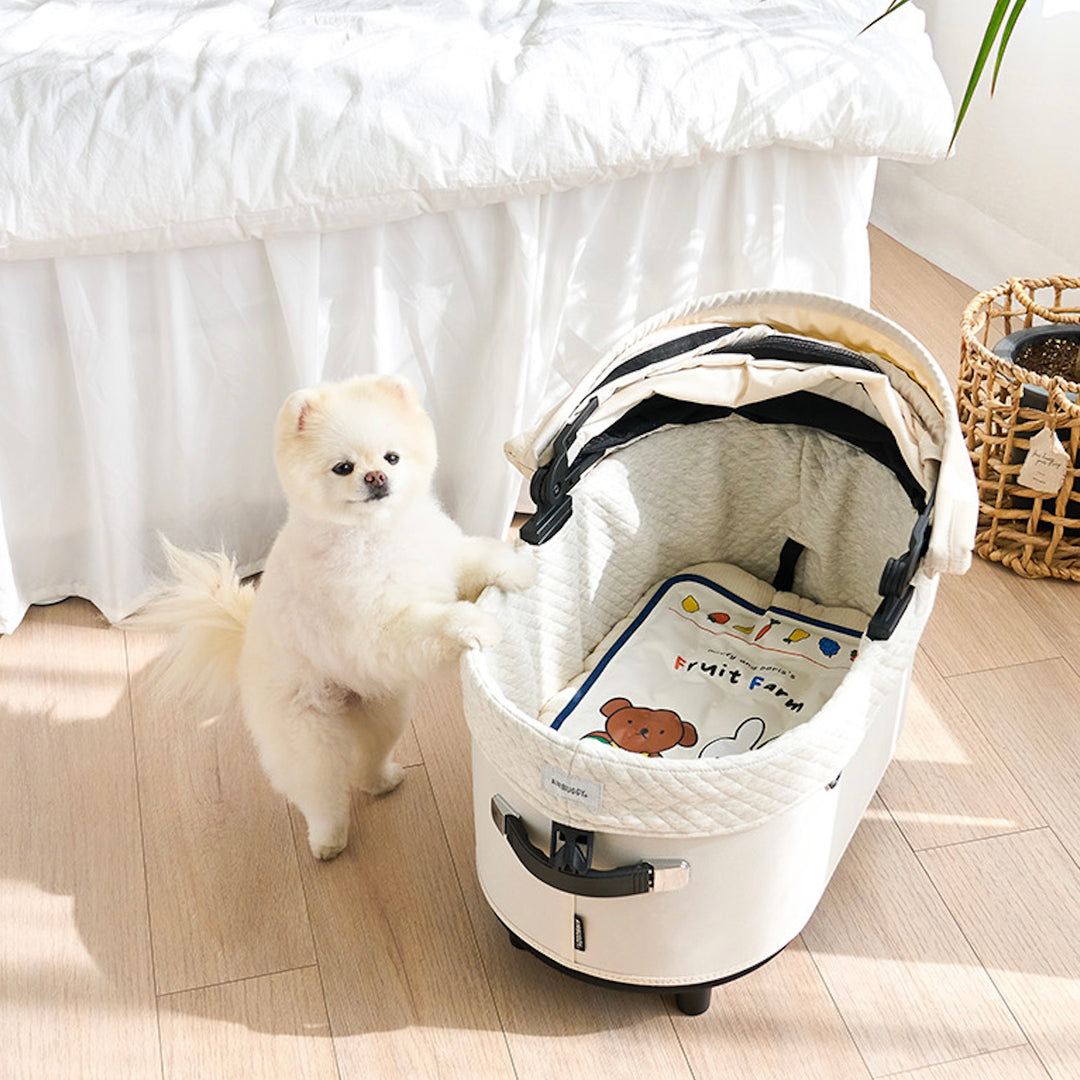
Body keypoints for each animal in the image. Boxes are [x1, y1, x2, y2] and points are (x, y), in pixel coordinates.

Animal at [135, 374, 535, 859]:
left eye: (392, 456)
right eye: (343, 467)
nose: (376, 476)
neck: (379, 533)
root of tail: (246, 648)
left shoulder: (444, 561)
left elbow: (477, 560)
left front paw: (517, 568)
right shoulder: (377, 631)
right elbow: (435, 621)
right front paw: (474, 624)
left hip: (385, 708)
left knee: (368, 761)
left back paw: (382, 781)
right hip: (307, 737)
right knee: (320, 793)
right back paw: (327, 841)